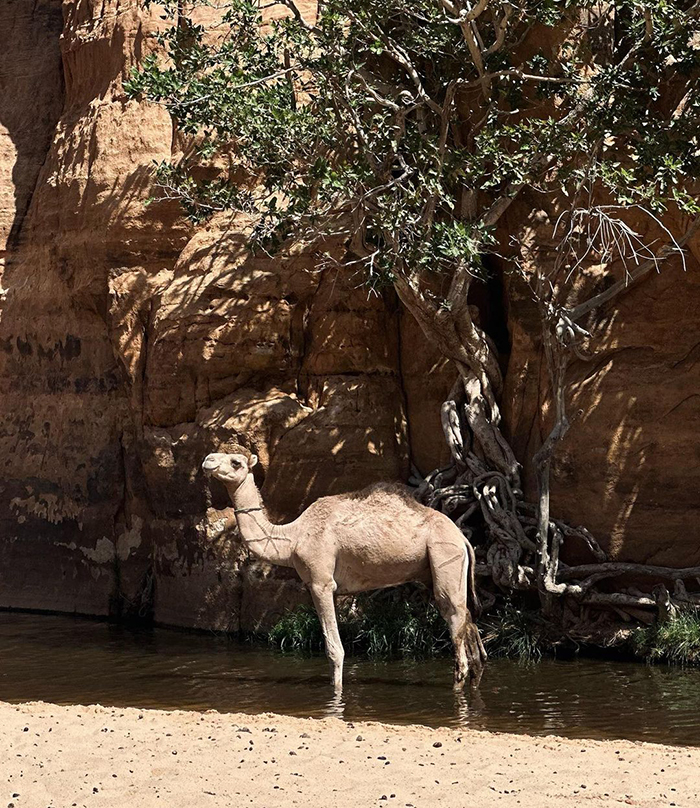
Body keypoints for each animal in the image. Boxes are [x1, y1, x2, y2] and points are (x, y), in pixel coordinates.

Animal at [202, 452, 486, 692]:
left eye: (236, 462)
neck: (293, 538)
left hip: (444, 555)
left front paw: (336, 693)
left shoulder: (320, 582)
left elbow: (334, 649)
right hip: (436, 570)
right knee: (470, 628)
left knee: (455, 624)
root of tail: (462, 538)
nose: (208, 460)